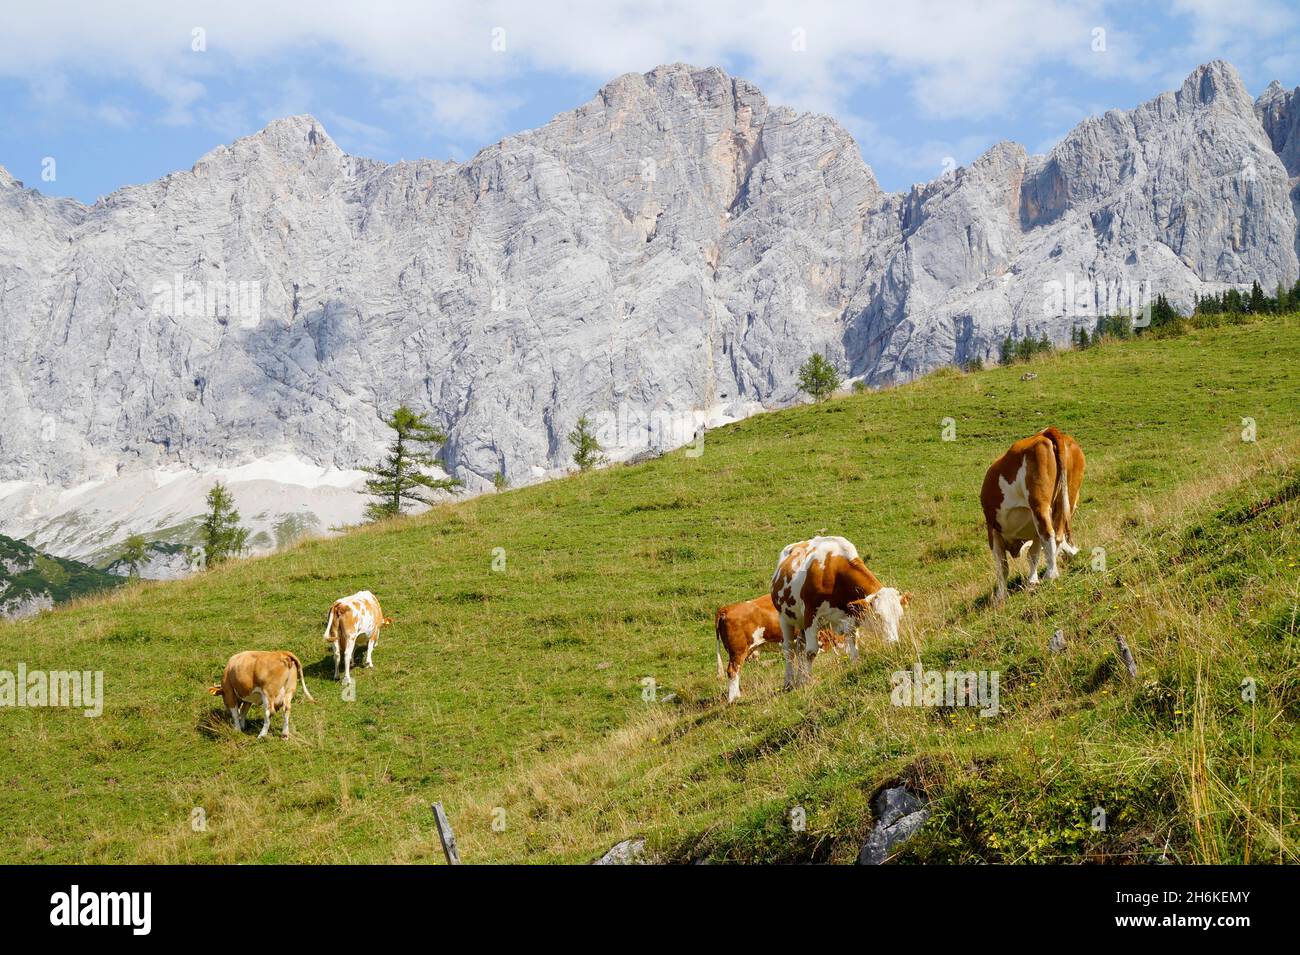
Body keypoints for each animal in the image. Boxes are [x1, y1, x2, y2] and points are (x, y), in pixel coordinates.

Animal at [717, 595, 847, 706]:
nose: (842, 643)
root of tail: (726, 608)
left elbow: (799, 659)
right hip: (738, 652)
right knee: (732, 671)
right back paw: (733, 698)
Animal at [764, 537, 909, 686]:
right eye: (878, 616)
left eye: (900, 617)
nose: (894, 642)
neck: (834, 575)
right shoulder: (811, 615)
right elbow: (811, 652)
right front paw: (808, 682)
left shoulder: (850, 619)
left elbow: (854, 649)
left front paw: (856, 669)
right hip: (785, 617)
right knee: (789, 650)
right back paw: (789, 682)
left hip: (801, 623)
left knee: (800, 647)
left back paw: (800, 679)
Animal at [977, 428, 1081, 600]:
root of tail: (1046, 432)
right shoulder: (1033, 530)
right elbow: (1033, 555)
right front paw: (1032, 581)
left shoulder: (992, 529)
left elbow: (1002, 566)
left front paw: (1000, 596)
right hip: (1069, 496)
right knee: (1058, 535)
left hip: (1039, 504)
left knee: (1049, 534)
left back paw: (1051, 575)